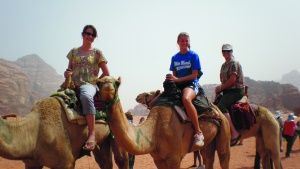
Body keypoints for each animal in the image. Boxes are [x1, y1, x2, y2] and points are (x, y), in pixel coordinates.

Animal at [96, 76, 232, 169]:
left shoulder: (175, 157)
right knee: (208, 157)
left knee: (223, 155)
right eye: (98, 83)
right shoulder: (158, 159)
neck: (155, 130)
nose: (108, 87)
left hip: (225, 127)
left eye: (117, 83)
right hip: (209, 140)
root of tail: (216, 109)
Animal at [137, 90, 282, 168]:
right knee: (264, 153)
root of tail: (271, 114)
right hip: (260, 134)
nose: (137, 96)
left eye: (148, 94)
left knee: (274, 154)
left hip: (270, 126)